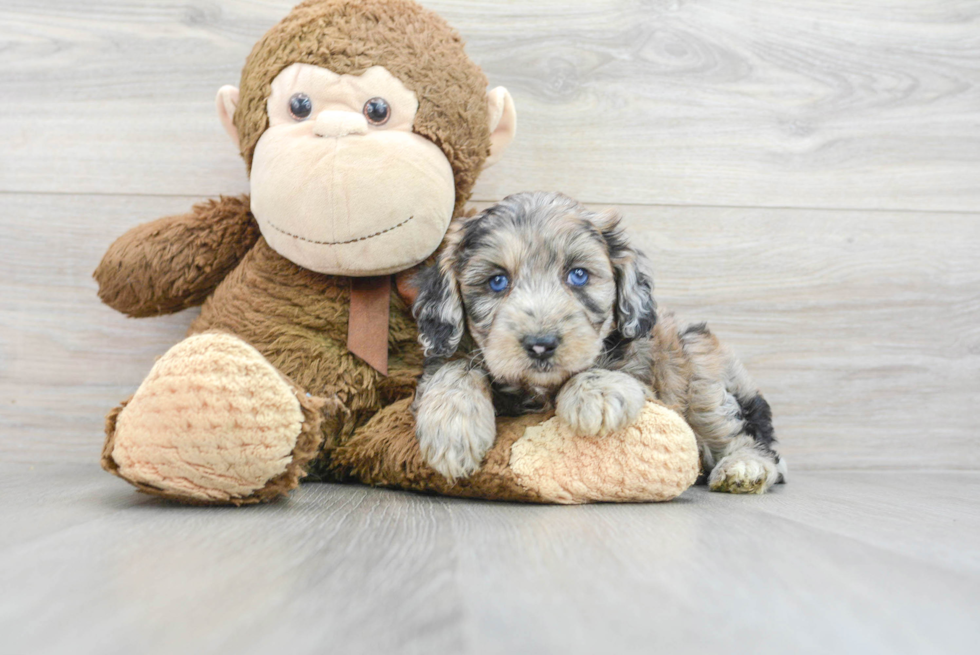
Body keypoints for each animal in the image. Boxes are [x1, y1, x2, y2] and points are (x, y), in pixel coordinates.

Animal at [410, 192, 784, 494]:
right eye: (497, 281)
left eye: (578, 275)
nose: (541, 344)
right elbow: (456, 365)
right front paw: (453, 429)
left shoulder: (648, 375)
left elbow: (605, 368)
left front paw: (597, 393)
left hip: (701, 369)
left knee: (741, 436)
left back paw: (744, 468)